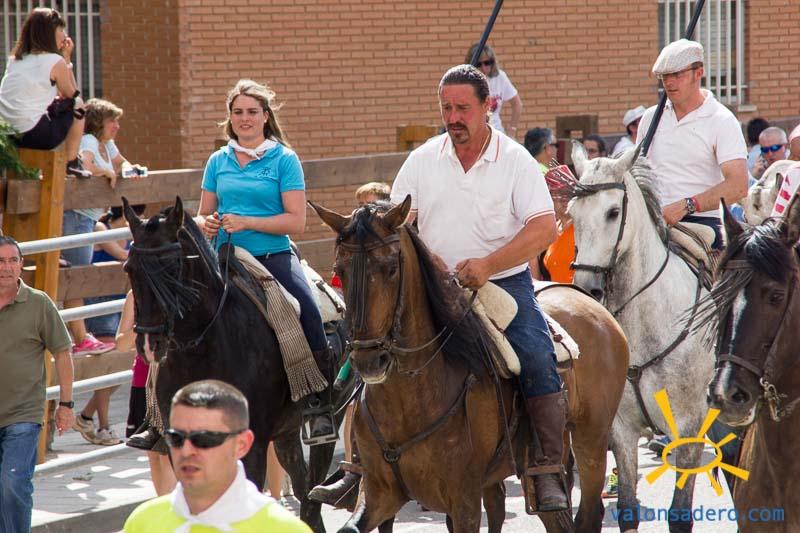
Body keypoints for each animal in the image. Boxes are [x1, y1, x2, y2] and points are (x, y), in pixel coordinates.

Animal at [121, 196, 352, 532]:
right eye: (130, 269)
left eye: (173, 266)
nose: (150, 343)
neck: (205, 347)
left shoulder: (251, 445)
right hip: (286, 431)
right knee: (301, 485)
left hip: (330, 417)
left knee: (311, 494)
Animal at [310, 197, 629, 533]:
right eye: (339, 270)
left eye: (391, 268)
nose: (369, 361)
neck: (412, 395)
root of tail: (591, 303)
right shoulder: (377, 493)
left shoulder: (464, 499)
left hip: (591, 439)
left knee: (587, 510)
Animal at [567, 144, 732, 532]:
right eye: (572, 214)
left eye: (613, 212)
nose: (587, 288)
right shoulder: (621, 430)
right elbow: (628, 507)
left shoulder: (688, 428)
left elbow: (680, 514)